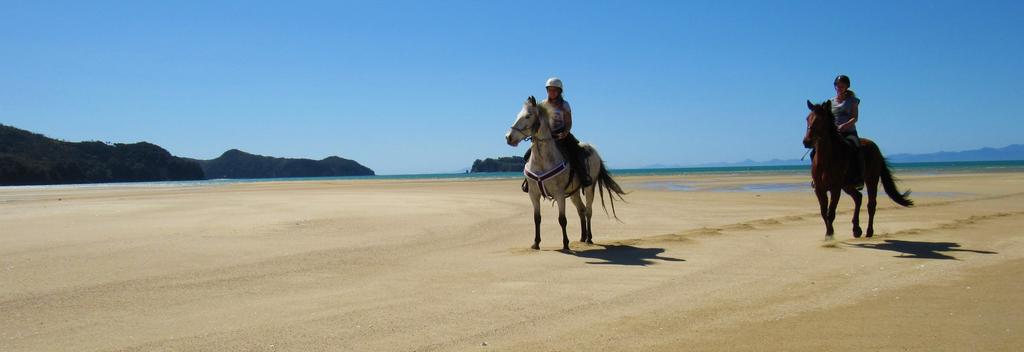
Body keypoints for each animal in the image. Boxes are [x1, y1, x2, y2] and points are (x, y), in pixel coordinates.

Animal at [503, 96, 622, 250]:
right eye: (518, 114)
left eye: (528, 116)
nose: (508, 137)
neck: (542, 161)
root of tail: (594, 150)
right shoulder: (533, 194)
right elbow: (537, 218)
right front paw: (536, 243)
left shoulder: (559, 194)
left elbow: (562, 219)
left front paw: (565, 244)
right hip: (574, 193)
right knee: (581, 210)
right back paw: (582, 237)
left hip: (589, 188)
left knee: (588, 211)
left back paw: (589, 238)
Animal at [798, 99, 913, 239]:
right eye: (807, 118)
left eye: (820, 120)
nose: (806, 141)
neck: (825, 160)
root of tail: (876, 148)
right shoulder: (819, 189)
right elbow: (823, 212)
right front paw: (828, 233)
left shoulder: (835, 189)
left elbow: (831, 212)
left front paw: (830, 235)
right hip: (847, 185)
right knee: (858, 197)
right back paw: (856, 229)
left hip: (871, 180)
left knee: (871, 204)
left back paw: (869, 231)